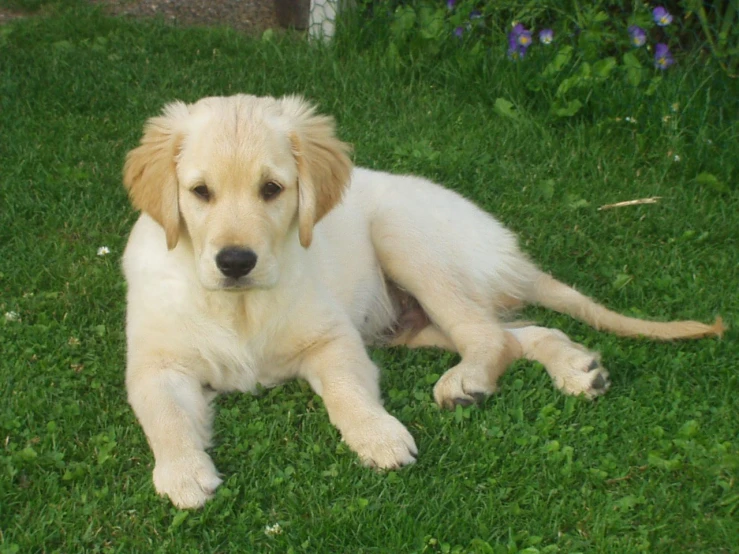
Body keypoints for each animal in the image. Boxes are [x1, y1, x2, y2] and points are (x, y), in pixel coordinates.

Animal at [121, 92, 724, 506]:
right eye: (200, 192)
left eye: (272, 189)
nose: (236, 262)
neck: (239, 306)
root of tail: (504, 243)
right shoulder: (154, 363)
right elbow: (163, 415)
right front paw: (182, 473)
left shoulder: (333, 338)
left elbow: (347, 392)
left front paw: (379, 437)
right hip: (411, 324)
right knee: (516, 333)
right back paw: (576, 368)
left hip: (403, 237)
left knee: (487, 335)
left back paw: (469, 382)